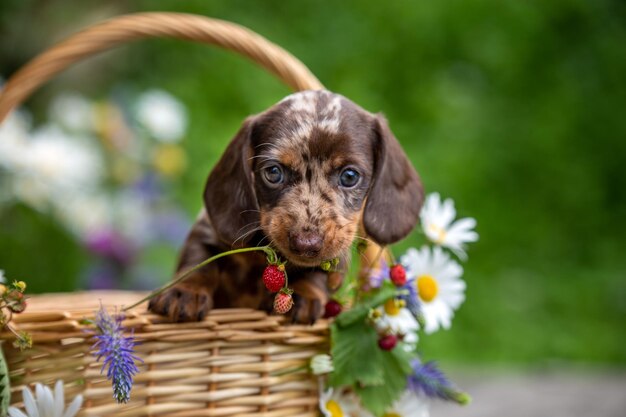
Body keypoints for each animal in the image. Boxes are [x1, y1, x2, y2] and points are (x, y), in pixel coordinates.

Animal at [150, 90, 424, 322]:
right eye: (273, 172)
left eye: (349, 176)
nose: (306, 244)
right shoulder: (207, 230)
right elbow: (199, 260)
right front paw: (185, 291)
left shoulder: (336, 258)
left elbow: (316, 273)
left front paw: (304, 295)